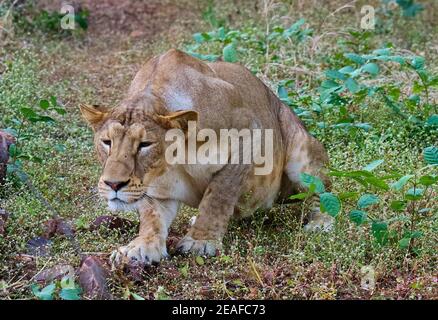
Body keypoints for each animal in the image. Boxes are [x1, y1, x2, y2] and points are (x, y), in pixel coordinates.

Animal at [79, 48, 332, 266]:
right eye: (107, 142)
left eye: (145, 144)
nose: (113, 184)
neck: (173, 159)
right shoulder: (155, 188)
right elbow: (151, 216)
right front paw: (139, 248)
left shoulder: (248, 134)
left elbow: (218, 195)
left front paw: (200, 242)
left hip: (300, 151)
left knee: (323, 191)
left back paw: (320, 222)